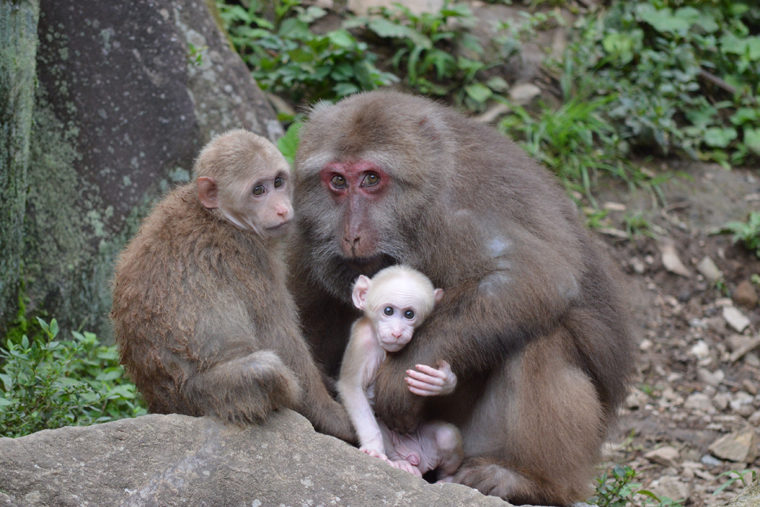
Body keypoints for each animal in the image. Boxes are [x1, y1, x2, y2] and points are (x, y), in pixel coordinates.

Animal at [338, 266, 464, 480]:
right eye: (388, 311)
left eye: (409, 314)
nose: (397, 332)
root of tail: (416, 457)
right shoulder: (363, 340)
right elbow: (351, 387)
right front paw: (374, 448)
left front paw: (443, 381)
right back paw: (399, 463)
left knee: (447, 436)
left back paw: (445, 478)